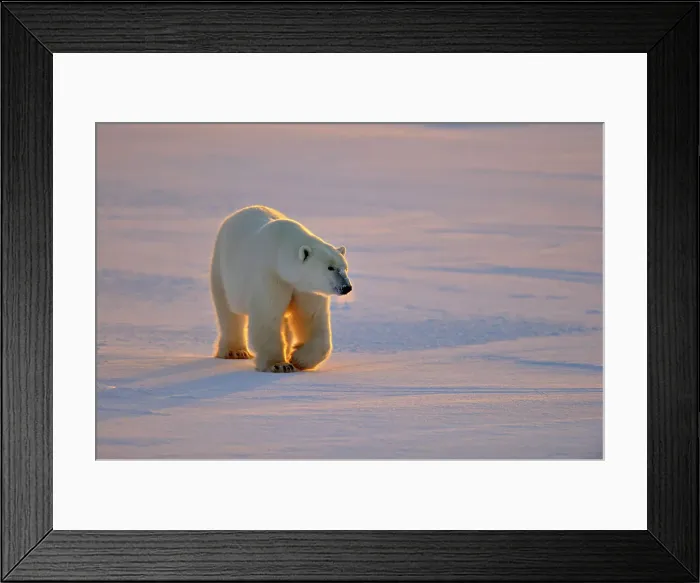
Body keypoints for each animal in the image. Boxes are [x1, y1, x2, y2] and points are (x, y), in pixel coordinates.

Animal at [209, 205, 352, 373]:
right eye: (330, 267)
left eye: (345, 268)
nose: (346, 287)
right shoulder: (270, 276)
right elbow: (268, 315)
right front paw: (280, 365)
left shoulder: (305, 287)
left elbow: (311, 317)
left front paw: (298, 359)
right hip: (222, 269)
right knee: (228, 312)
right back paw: (235, 351)